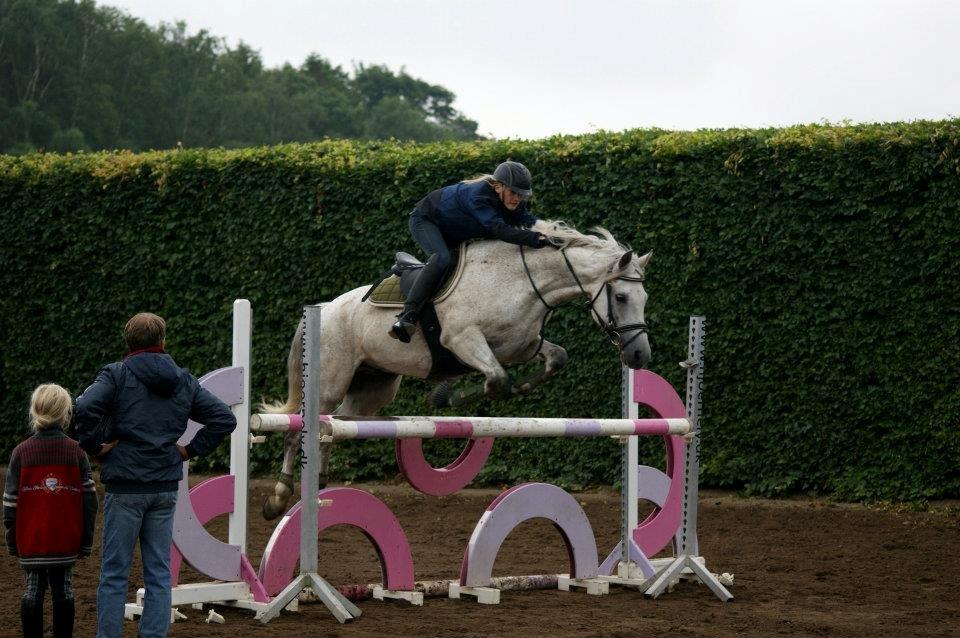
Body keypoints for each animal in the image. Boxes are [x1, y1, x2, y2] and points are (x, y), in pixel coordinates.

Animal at [260, 220, 652, 520]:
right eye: (621, 298)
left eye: (645, 299)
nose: (639, 355)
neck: (521, 282)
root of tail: (324, 308)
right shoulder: (463, 339)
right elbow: (497, 380)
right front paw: (444, 395)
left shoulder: (521, 346)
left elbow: (554, 360)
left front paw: (499, 390)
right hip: (328, 382)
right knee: (300, 430)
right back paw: (278, 496)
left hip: (373, 390)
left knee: (335, 426)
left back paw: (320, 482)